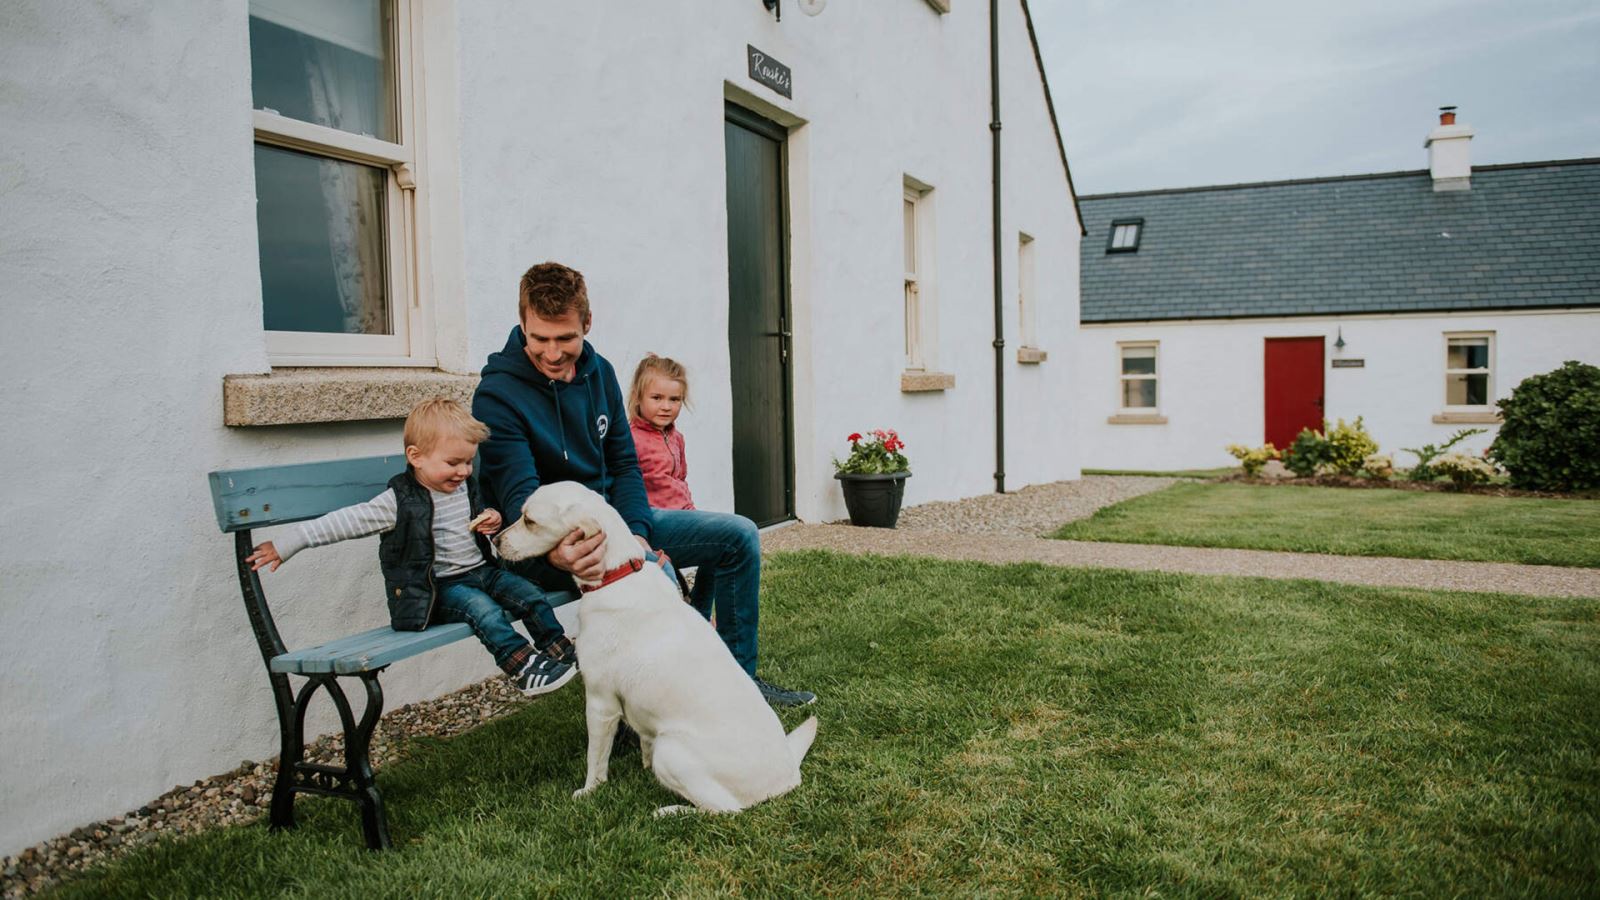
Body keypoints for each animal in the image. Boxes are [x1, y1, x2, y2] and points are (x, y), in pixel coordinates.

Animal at [492, 483, 819, 813]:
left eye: (529, 520)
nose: (494, 540)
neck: (616, 576)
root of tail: (788, 777)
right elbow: (642, 743)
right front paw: (642, 768)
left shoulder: (600, 703)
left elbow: (595, 759)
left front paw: (589, 791)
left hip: (670, 749)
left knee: (724, 810)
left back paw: (669, 811)